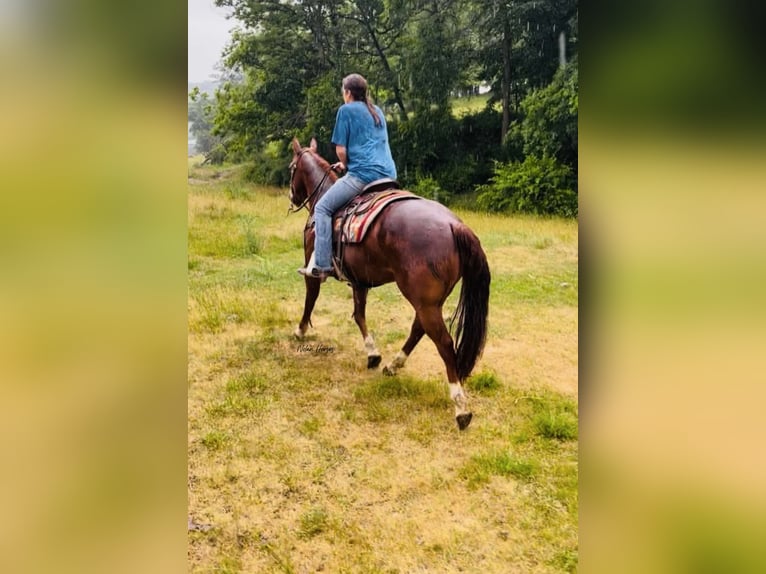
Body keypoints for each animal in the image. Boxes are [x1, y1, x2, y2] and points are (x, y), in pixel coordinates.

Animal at [288, 137, 492, 430]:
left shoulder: (312, 267)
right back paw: (394, 365)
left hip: (424, 301)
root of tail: (455, 225)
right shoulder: (359, 280)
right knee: (419, 329)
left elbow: (310, 300)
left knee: (443, 342)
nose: (292, 197)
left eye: (291, 168)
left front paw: (300, 330)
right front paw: (373, 355)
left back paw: (460, 408)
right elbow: (359, 315)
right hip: (429, 301)